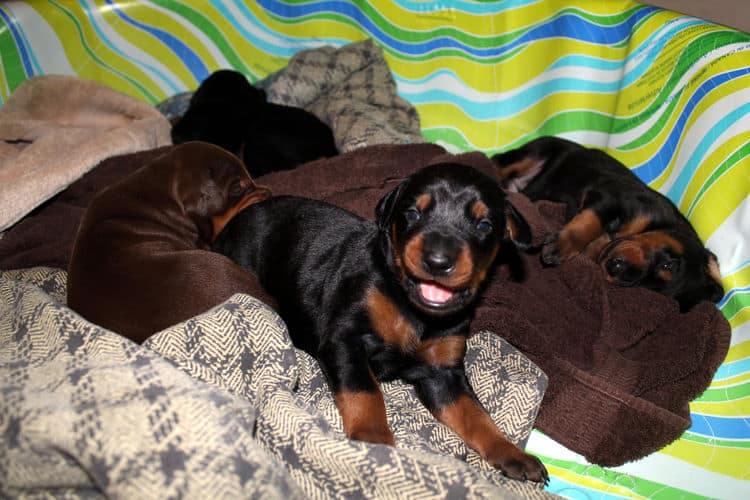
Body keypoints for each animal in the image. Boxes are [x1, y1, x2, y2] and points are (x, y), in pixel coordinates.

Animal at [214, 164, 548, 484]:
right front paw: (374, 441)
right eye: (412, 213)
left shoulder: (443, 374)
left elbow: (476, 414)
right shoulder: (345, 340)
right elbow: (365, 390)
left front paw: (512, 453)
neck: (414, 310)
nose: (437, 261)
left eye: (484, 225)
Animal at [490, 135, 724, 310]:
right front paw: (560, 248)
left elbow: (597, 244)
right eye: (669, 265)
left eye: (647, 288)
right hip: (537, 151)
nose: (618, 270)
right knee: (497, 162)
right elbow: (591, 223)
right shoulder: (610, 196)